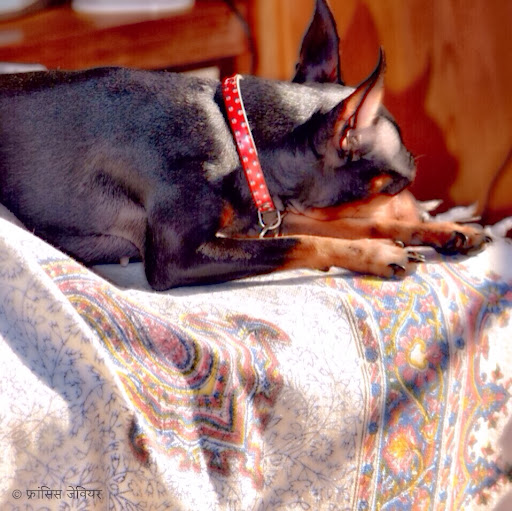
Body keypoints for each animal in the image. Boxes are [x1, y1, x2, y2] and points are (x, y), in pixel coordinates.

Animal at [0, 0, 487, 290]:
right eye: (398, 183)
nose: (426, 210)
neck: (235, 136)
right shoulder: (177, 258)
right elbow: (300, 243)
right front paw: (377, 252)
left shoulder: (266, 216)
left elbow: (356, 225)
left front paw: (449, 229)